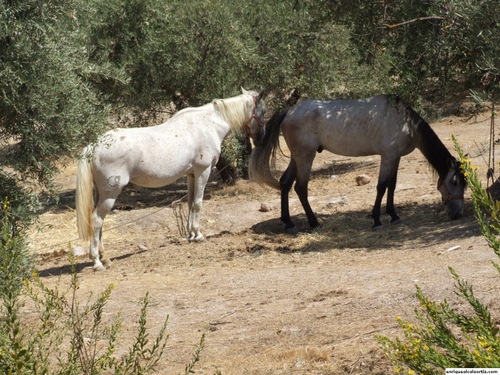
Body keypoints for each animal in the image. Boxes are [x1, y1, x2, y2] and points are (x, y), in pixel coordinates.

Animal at [75, 88, 266, 270]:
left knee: (99, 222)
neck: (209, 124)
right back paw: (97, 262)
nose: (261, 139)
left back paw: (105, 258)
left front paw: (191, 234)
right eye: (263, 111)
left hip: (100, 194)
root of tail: (94, 146)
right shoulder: (203, 171)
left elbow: (190, 203)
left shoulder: (191, 175)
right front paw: (199, 235)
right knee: (97, 220)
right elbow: (198, 203)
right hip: (110, 194)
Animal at [249, 94, 464, 232]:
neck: (404, 122)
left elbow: (392, 186)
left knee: (285, 183)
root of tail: (289, 111)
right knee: (300, 188)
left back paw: (289, 223)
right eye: (454, 181)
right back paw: (313, 223)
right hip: (305, 157)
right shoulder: (388, 156)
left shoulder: (395, 157)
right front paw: (377, 220)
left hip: (297, 157)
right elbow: (381, 186)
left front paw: (393, 215)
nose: (458, 213)